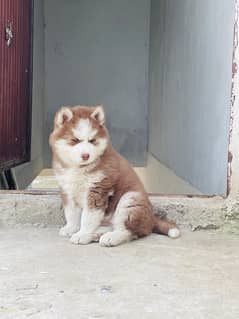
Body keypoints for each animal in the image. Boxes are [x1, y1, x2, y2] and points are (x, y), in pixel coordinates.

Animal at [49, 105, 179, 248]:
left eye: (92, 141)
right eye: (75, 140)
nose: (86, 156)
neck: (79, 168)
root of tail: (151, 218)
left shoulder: (97, 191)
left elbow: (88, 218)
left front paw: (82, 234)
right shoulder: (67, 190)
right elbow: (71, 213)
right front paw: (71, 228)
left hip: (130, 201)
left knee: (129, 231)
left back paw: (110, 237)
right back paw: (97, 234)